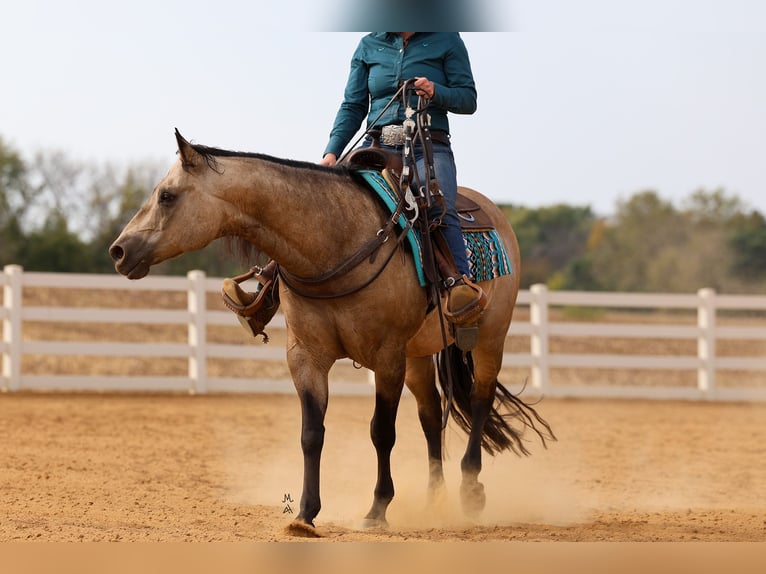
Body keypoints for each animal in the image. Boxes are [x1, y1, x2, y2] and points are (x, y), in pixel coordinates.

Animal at [109, 130, 553, 537]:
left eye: (167, 196)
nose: (118, 250)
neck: (335, 243)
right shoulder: (307, 357)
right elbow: (311, 434)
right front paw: (305, 515)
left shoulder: (386, 357)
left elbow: (381, 432)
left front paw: (377, 509)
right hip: (418, 355)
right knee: (430, 415)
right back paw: (434, 498)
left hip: (489, 337)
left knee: (479, 400)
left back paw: (470, 491)